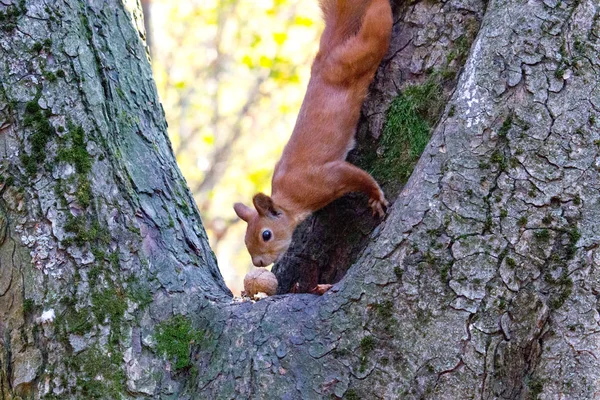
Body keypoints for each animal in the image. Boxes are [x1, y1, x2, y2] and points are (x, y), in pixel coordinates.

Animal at [232, 0, 392, 268]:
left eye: (266, 234)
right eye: (245, 240)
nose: (259, 263)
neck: (290, 198)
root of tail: (327, 56)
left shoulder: (324, 179)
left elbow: (359, 177)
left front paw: (375, 195)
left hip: (360, 54)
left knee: (378, 22)